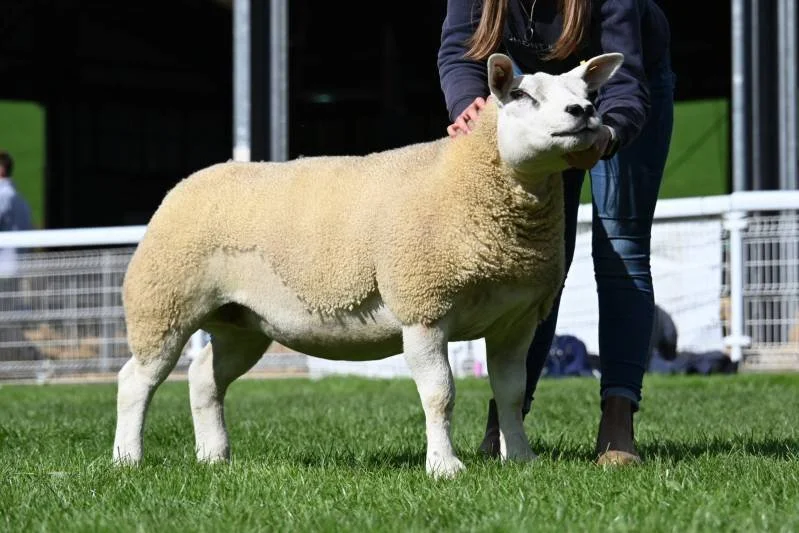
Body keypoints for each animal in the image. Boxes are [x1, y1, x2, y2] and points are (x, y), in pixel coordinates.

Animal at [112, 51, 624, 479]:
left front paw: (520, 459)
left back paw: (214, 457)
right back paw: (127, 460)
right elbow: (440, 394)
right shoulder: (422, 307)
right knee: (135, 380)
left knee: (204, 378)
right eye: (522, 95)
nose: (583, 112)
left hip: (243, 320)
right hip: (164, 301)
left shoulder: (515, 320)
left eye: (587, 92)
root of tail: (190, 180)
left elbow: (511, 394)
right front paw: (444, 467)